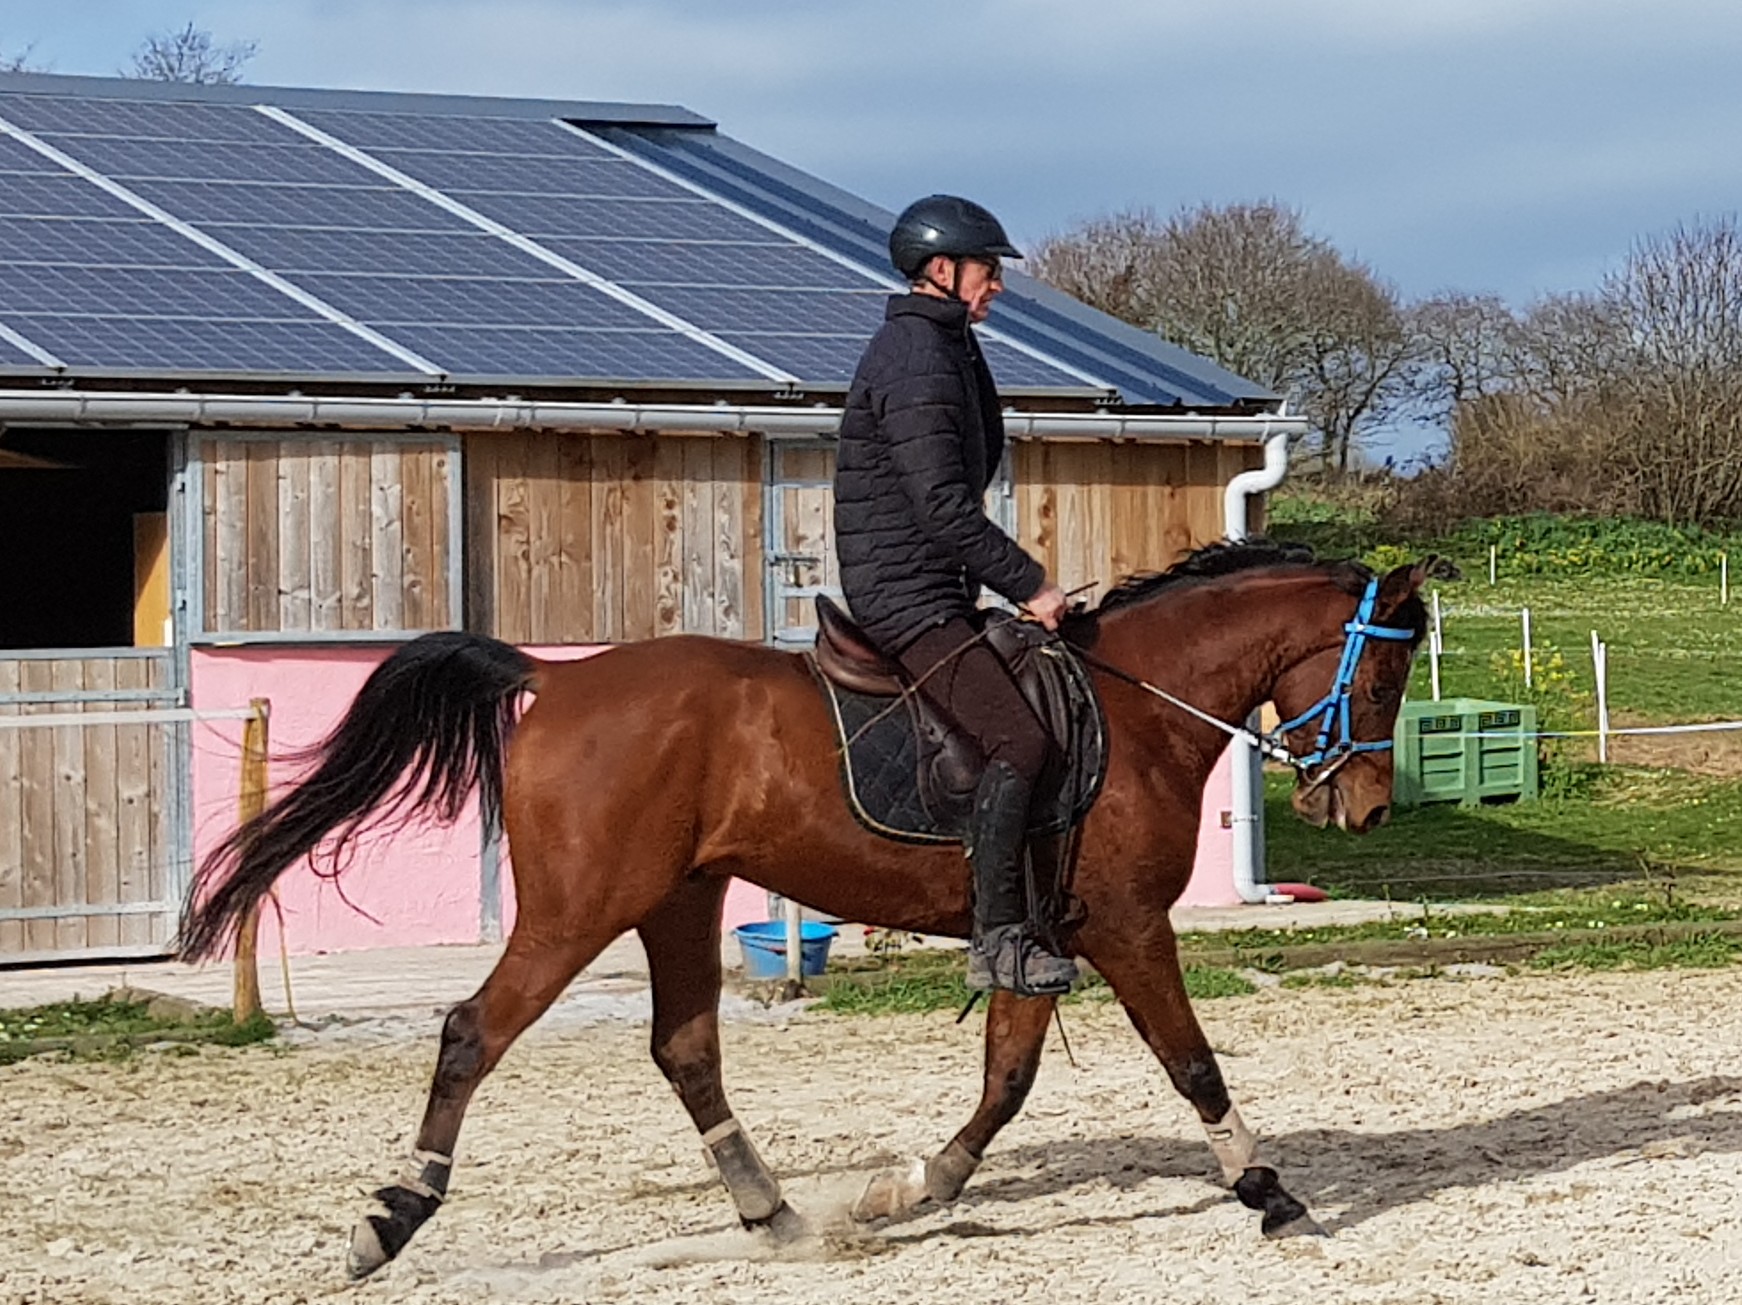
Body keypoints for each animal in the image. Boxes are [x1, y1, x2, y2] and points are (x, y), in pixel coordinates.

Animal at [179, 541, 1430, 1279]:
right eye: (1379, 675)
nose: (1362, 807)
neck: (1137, 712)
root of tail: (559, 676)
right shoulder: (1126, 929)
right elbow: (1191, 1064)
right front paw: (1269, 1192)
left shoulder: (1042, 935)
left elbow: (1005, 1080)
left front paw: (907, 1190)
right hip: (579, 910)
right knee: (471, 1033)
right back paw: (391, 1218)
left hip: (677, 901)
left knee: (684, 1050)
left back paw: (772, 1214)